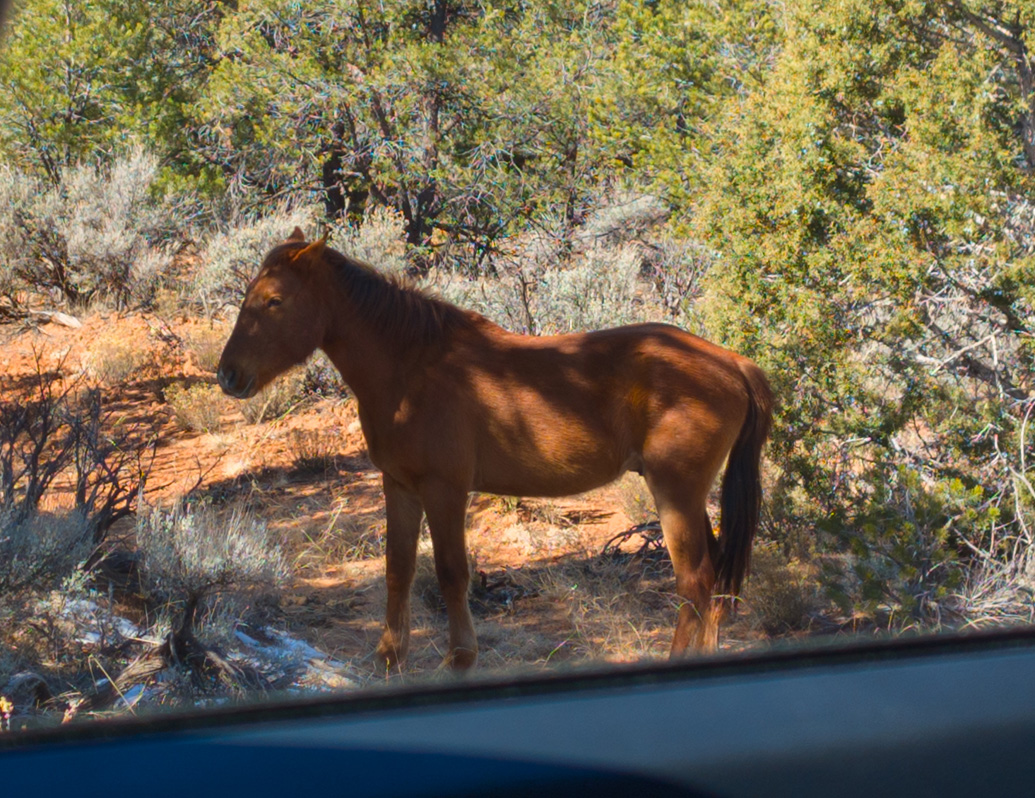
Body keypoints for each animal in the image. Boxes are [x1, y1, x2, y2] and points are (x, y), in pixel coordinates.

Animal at [217, 228, 773, 670]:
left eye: (273, 300)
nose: (228, 375)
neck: (411, 368)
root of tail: (731, 361)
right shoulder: (399, 486)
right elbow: (398, 570)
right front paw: (390, 657)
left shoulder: (444, 490)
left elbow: (450, 574)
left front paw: (459, 658)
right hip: (687, 496)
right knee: (713, 580)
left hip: (675, 493)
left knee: (695, 582)